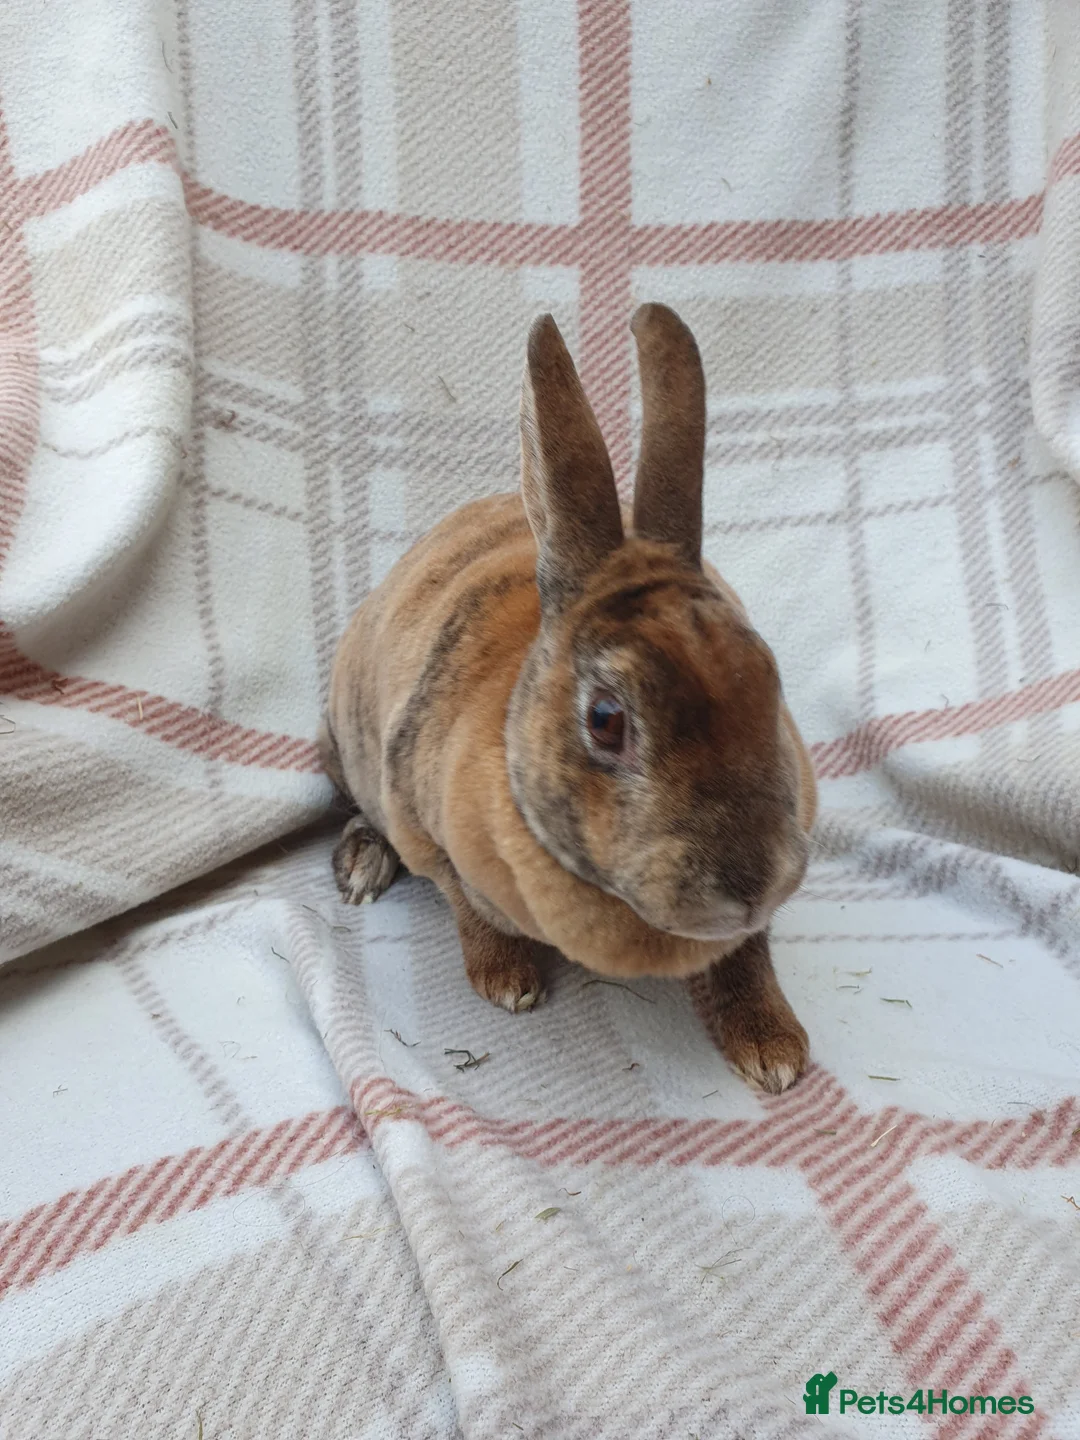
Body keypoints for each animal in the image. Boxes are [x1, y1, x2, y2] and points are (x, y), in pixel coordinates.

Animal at [320, 304, 817, 1093]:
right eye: (606, 721)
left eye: (768, 676)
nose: (749, 882)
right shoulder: (426, 827)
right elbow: (469, 909)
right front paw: (507, 984)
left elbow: (748, 951)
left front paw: (773, 1053)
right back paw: (364, 867)